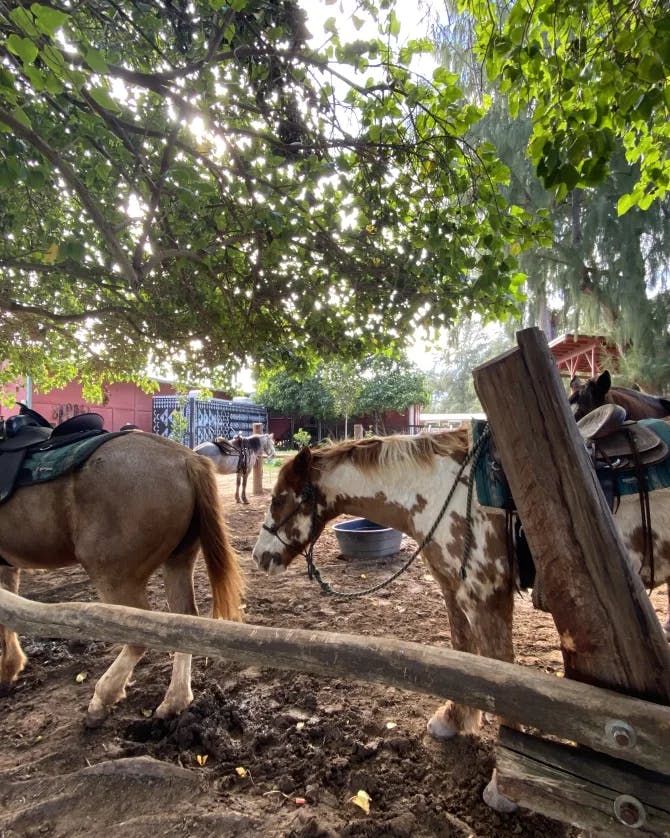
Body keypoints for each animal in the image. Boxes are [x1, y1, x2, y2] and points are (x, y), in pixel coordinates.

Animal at [0, 430, 245, 724]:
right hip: (178, 561)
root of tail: (186, 458)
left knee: (138, 636)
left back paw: (103, 697)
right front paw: (9, 667)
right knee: (184, 621)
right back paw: (174, 701)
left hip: (114, 577)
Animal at [255, 430, 670, 812]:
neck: (444, 490)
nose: (259, 557)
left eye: (279, 498)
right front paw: (453, 720)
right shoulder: (454, 590)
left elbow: (503, 674)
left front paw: (504, 787)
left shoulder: (486, 597)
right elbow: (462, 653)